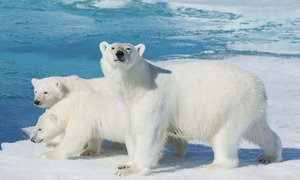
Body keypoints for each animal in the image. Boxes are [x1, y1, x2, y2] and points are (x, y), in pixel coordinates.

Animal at [99, 41, 282, 176]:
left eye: (128, 48)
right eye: (112, 47)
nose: (119, 54)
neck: (136, 84)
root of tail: (259, 85)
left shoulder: (152, 100)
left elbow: (147, 132)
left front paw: (132, 170)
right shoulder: (126, 105)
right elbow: (130, 131)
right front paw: (125, 164)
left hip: (230, 105)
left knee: (225, 136)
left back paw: (211, 165)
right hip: (249, 107)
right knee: (258, 130)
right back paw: (270, 155)